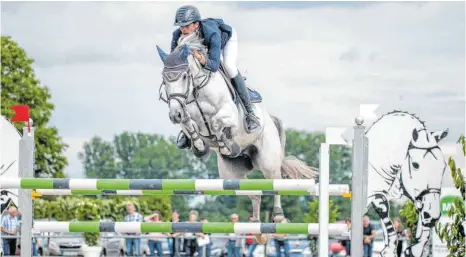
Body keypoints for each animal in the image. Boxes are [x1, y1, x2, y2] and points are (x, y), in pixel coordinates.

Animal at [156, 35, 316, 223]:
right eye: (164, 78)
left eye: (184, 76)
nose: (175, 114)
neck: (197, 91)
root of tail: (270, 119)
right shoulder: (186, 113)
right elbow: (189, 124)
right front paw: (200, 148)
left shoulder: (228, 112)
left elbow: (216, 123)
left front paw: (226, 144)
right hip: (231, 175)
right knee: (255, 194)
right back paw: (255, 224)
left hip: (267, 161)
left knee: (275, 182)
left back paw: (278, 216)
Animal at [366, 111, 450, 256]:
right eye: (415, 165)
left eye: (443, 166)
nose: (433, 216)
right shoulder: (372, 194)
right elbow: (383, 209)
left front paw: (413, 249)